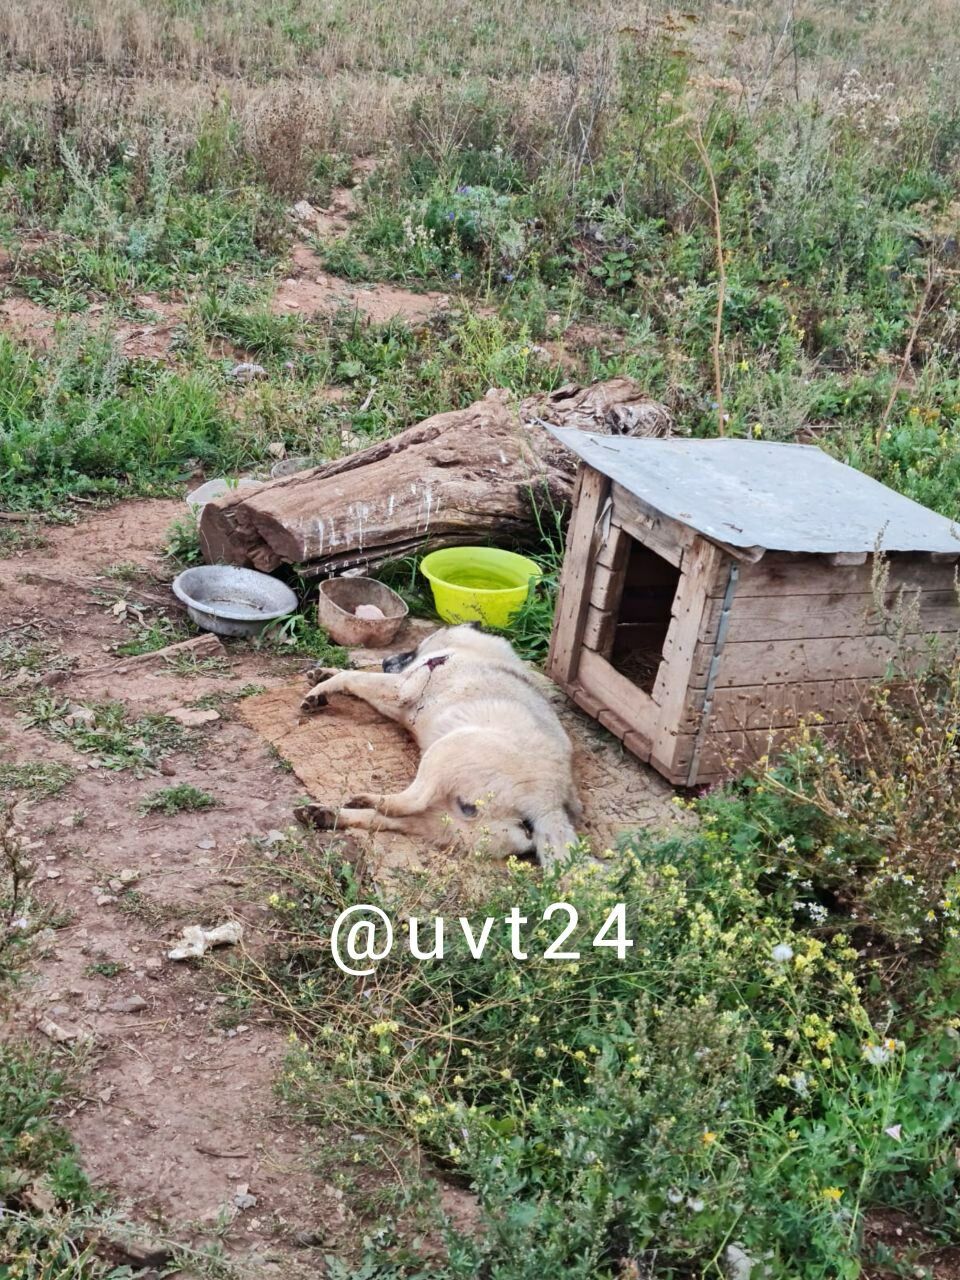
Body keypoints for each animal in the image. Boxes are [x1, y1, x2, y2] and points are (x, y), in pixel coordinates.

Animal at [300, 622, 583, 870]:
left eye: (413, 649)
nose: (385, 661)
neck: (469, 650)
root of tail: (548, 806)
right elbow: (351, 676)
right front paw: (325, 674)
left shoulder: (400, 689)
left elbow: (354, 675)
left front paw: (321, 688)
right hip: (452, 822)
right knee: (393, 819)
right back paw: (328, 815)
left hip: (450, 746)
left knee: (411, 801)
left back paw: (367, 800)